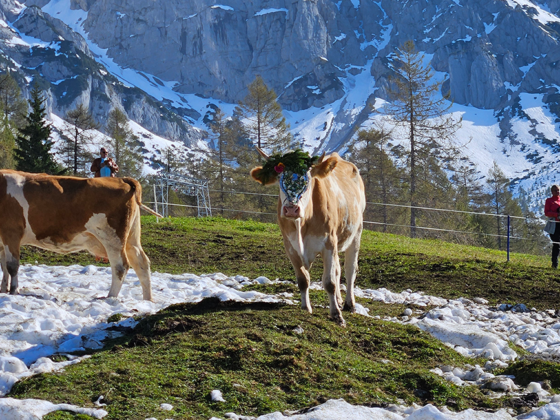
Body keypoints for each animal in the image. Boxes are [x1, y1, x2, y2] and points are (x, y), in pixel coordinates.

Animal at [0, 169, 160, 300]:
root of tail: (122, 179)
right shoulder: (2, 242)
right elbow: (3, 266)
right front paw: (3, 290)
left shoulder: (11, 233)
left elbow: (12, 265)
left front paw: (13, 291)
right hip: (131, 239)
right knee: (141, 263)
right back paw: (148, 300)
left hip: (112, 237)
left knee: (121, 266)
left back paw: (110, 297)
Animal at [250, 149, 366, 326]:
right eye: (280, 177)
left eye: (308, 178)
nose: (291, 209)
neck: (302, 224)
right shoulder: (290, 246)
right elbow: (303, 279)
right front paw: (306, 308)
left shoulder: (328, 243)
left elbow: (329, 282)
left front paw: (336, 315)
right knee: (338, 270)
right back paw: (339, 300)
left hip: (356, 232)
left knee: (350, 269)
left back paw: (349, 304)